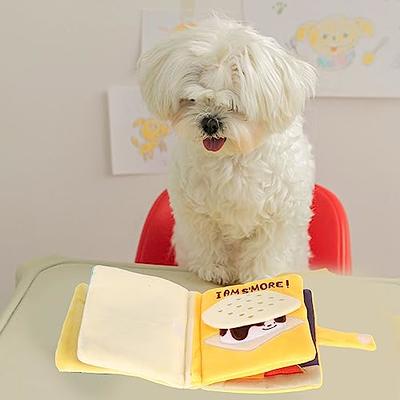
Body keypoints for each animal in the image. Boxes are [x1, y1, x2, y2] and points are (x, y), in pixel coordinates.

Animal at [139, 15, 318, 284]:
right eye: (192, 100)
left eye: (234, 105)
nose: (210, 122)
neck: (233, 157)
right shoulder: (196, 214)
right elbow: (207, 241)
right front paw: (214, 270)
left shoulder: (279, 215)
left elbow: (266, 249)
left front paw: (259, 276)